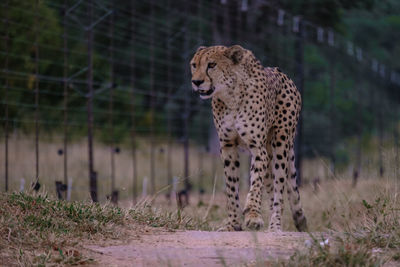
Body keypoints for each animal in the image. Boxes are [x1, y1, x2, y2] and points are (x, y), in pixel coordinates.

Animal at [190, 45, 306, 232]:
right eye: (194, 65)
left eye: (212, 65)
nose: (196, 82)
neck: (231, 96)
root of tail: (282, 73)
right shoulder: (228, 147)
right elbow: (231, 187)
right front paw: (233, 224)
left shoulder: (257, 148)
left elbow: (255, 183)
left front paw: (252, 216)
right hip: (270, 153)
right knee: (271, 186)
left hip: (281, 144)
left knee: (279, 189)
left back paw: (275, 226)